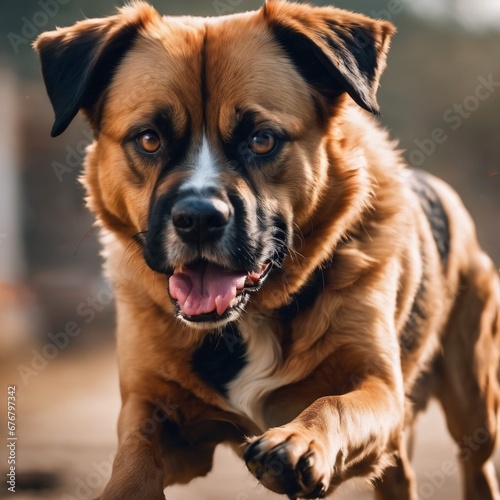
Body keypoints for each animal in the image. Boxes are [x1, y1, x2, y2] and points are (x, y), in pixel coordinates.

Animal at [35, 0, 500, 500]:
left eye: (261, 139)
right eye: (149, 138)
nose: (198, 218)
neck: (250, 318)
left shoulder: (379, 387)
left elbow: (334, 404)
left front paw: (297, 442)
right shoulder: (154, 412)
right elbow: (133, 461)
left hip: (474, 404)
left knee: (477, 465)